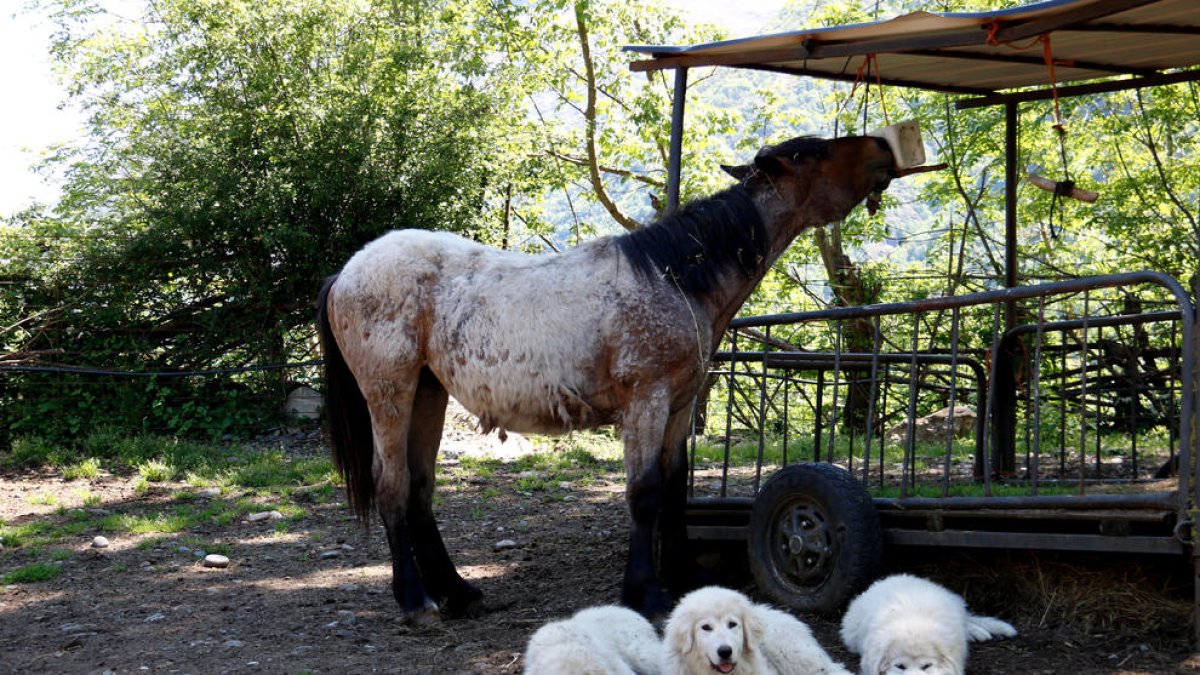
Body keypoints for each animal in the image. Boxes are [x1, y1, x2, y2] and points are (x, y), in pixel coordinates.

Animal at [315, 134, 897, 625]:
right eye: (813, 152)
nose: (885, 149)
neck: (674, 277)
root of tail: (347, 271)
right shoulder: (647, 401)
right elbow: (644, 493)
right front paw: (647, 592)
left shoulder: (680, 405)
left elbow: (674, 487)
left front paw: (685, 577)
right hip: (389, 393)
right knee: (392, 486)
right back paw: (416, 600)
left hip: (428, 393)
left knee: (419, 489)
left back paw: (458, 591)